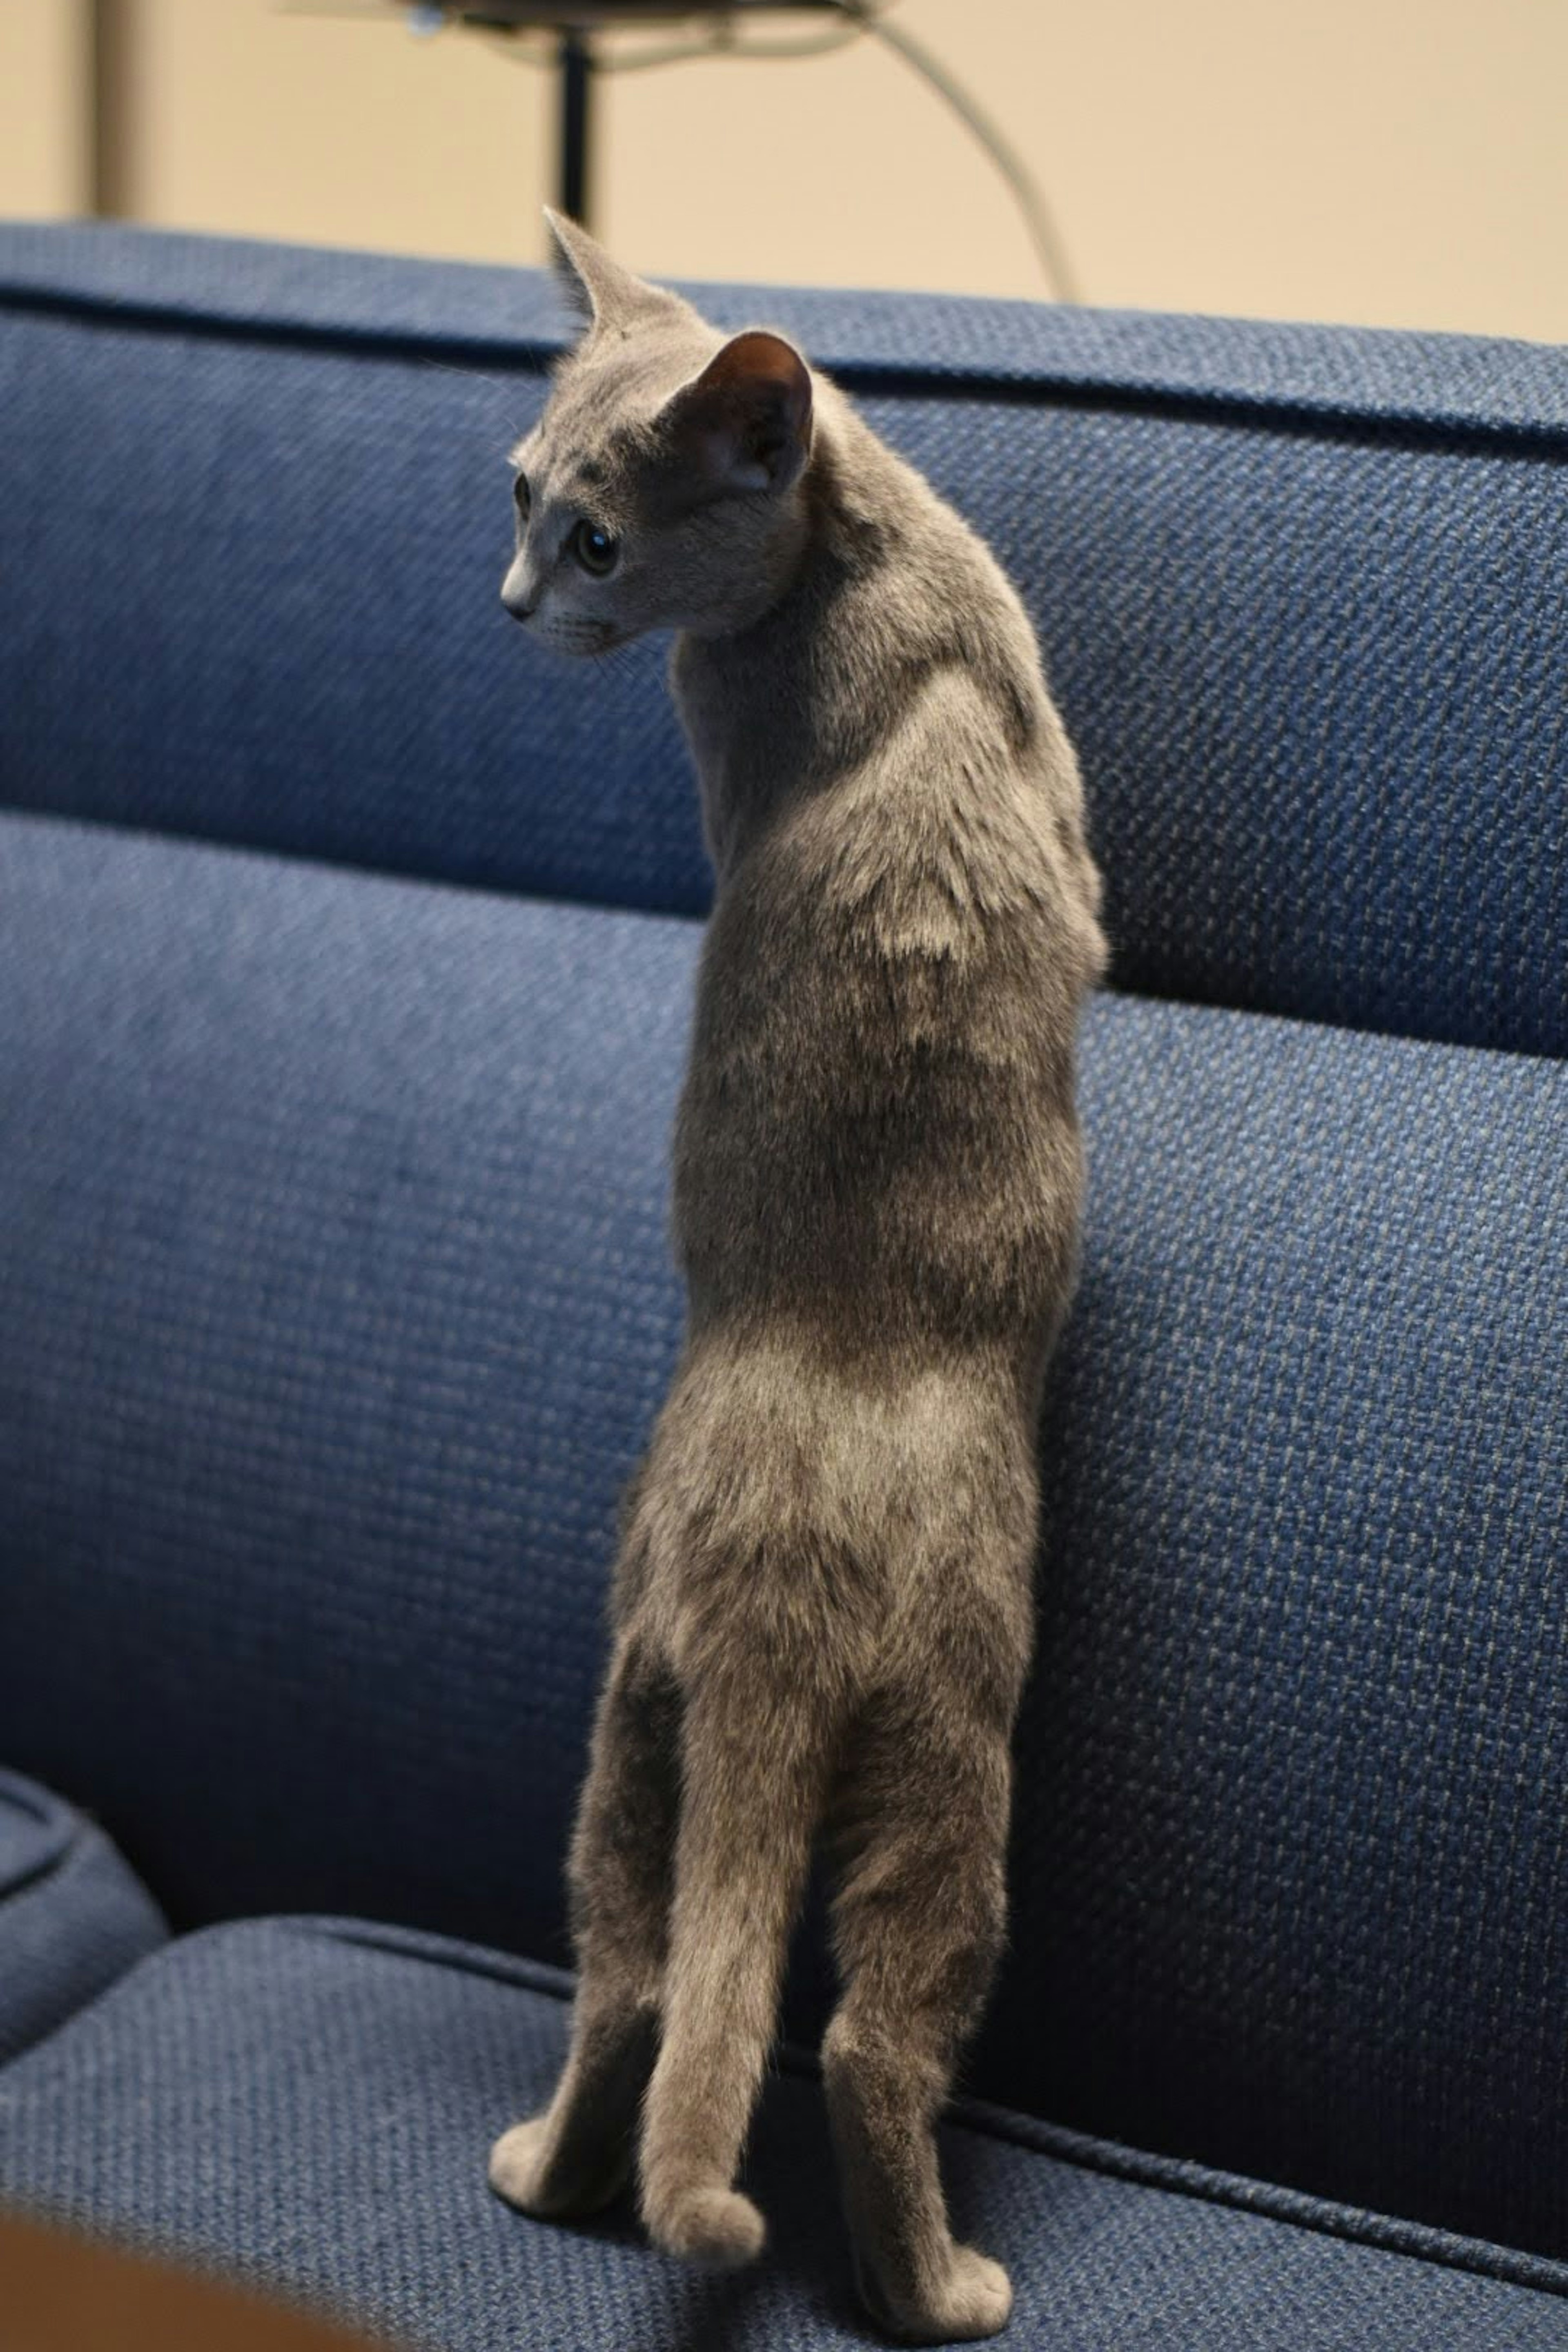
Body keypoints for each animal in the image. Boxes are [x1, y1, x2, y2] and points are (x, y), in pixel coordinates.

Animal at [491, 212, 1105, 2342]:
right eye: (521, 501)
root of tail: (770, 1591)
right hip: (947, 1768)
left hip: (635, 1716)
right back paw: (946, 2290)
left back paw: (540, 2176)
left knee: (636, 1975)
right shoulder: (1029, 732)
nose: (514, 601)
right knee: (860, 2044)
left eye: (590, 533)